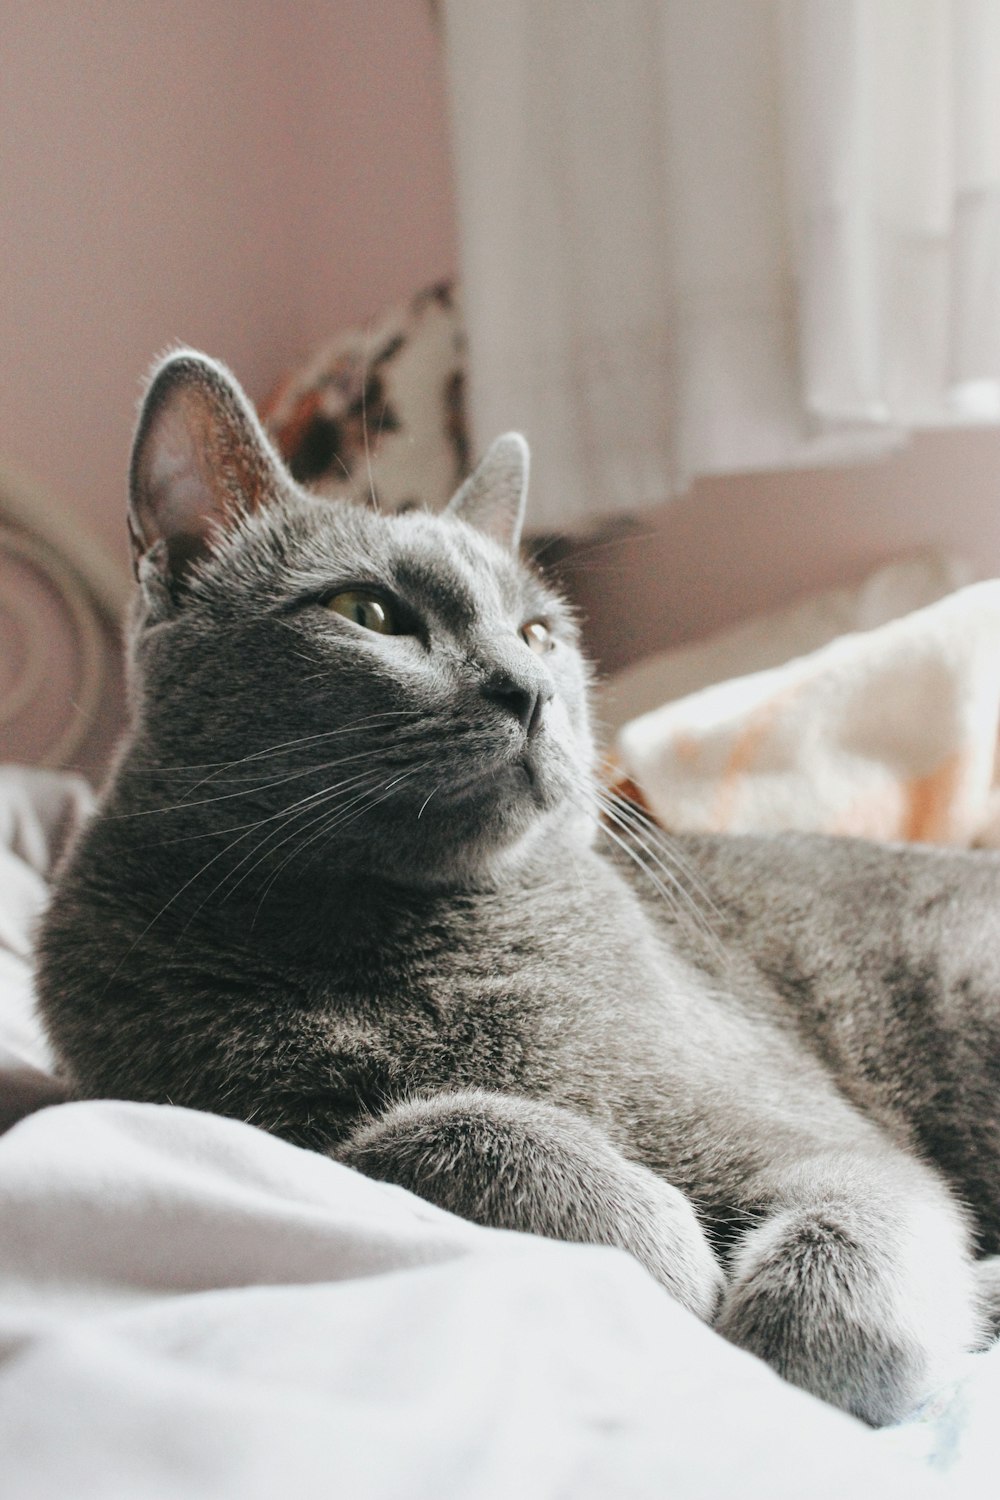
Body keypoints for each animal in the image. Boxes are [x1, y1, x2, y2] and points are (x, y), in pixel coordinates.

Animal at [35, 345, 1000, 1422]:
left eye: (539, 634)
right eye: (368, 613)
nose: (529, 688)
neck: (403, 939)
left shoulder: (809, 1133)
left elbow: (857, 1225)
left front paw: (809, 1346)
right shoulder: (216, 1113)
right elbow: (424, 1127)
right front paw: (654, 1240)